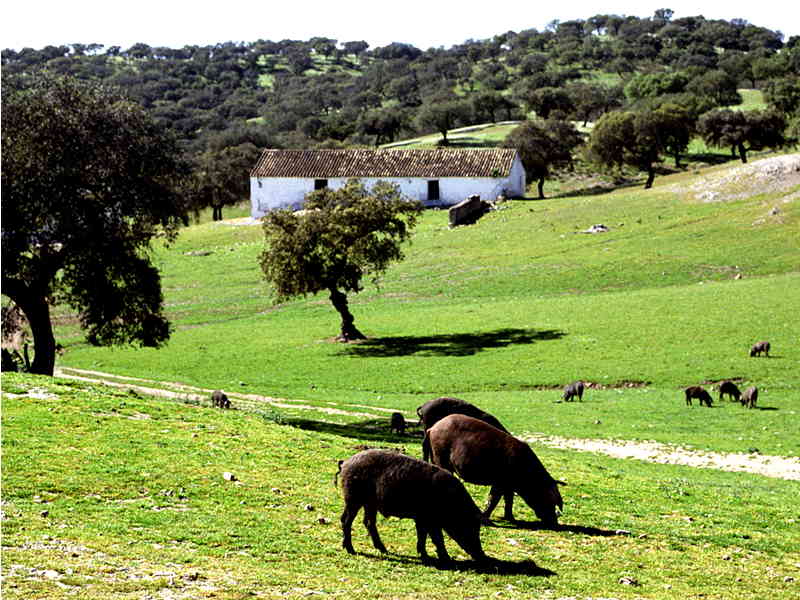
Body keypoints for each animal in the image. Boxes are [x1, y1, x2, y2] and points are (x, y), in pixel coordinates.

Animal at [334, 450, 484, 564]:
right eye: (470, 526)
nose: (482, 556)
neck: (452, 502)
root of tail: (345, 463)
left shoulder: (422, 519)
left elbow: (422, 535)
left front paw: (425, 556)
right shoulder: (429, 519)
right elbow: (437, 538)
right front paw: (447, 559)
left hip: (369, 503)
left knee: (368, 522)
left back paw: (384, 550)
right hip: (353, 498)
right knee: (346, 520)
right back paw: (351, 550)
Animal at [424, 412, 564, 524]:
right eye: (550, 500)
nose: (555, 523)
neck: (527, 473)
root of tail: (432, 428)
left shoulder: (509, 485)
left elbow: (509, 500)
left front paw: (511, 519)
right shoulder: (500, 482)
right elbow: (494, 499)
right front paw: (486, 519)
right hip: (440, 456)